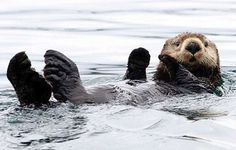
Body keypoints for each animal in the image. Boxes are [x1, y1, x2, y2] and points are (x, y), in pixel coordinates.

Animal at [6, 32, 221, 106]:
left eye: (206, 44)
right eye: (177, 43)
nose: (192, 45)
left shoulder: (202, 86)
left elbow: (188, 78)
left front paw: (167, 59)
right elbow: (134, 74)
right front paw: (139, 54)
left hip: (83, 98)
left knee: (75, 94)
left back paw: (58, 69)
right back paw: (23, 73)